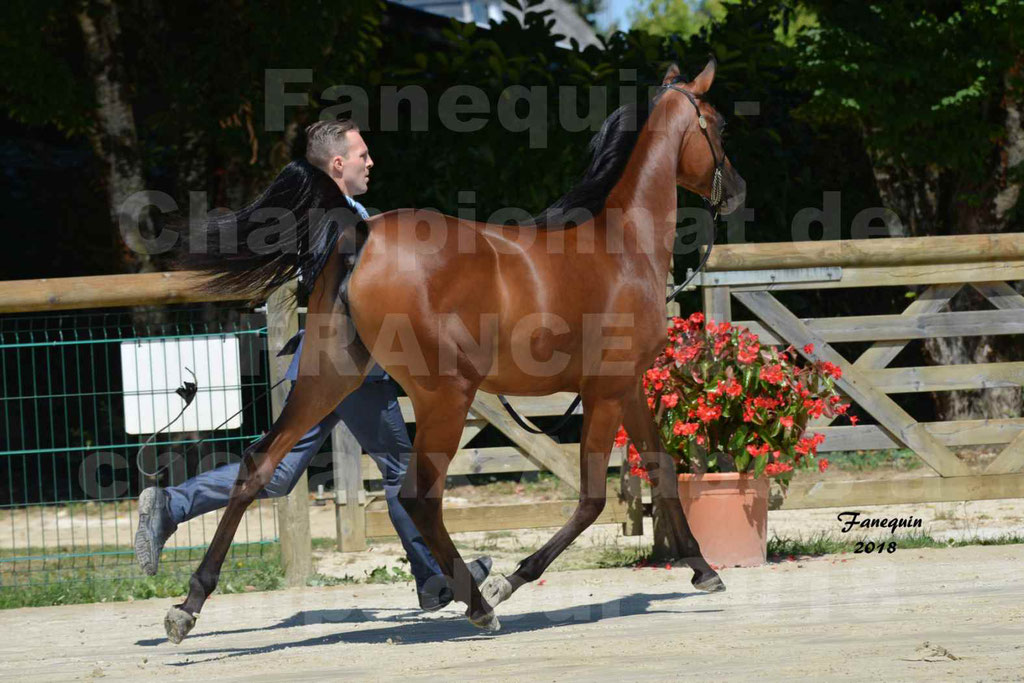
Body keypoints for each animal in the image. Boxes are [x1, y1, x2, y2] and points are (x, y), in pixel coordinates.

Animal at [165, 57, 745, 643]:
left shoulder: (626, 387)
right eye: (719, 126)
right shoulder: (606, 391)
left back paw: (188, 605)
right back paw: (478, 604)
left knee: (258, 464)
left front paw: (703, 568)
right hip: (445, 395)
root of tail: (362, 233)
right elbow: (592, 498)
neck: (622, 245)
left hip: (329, 380)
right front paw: (509, 581)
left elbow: (662, 467)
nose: (738, 192)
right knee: (418, 495)